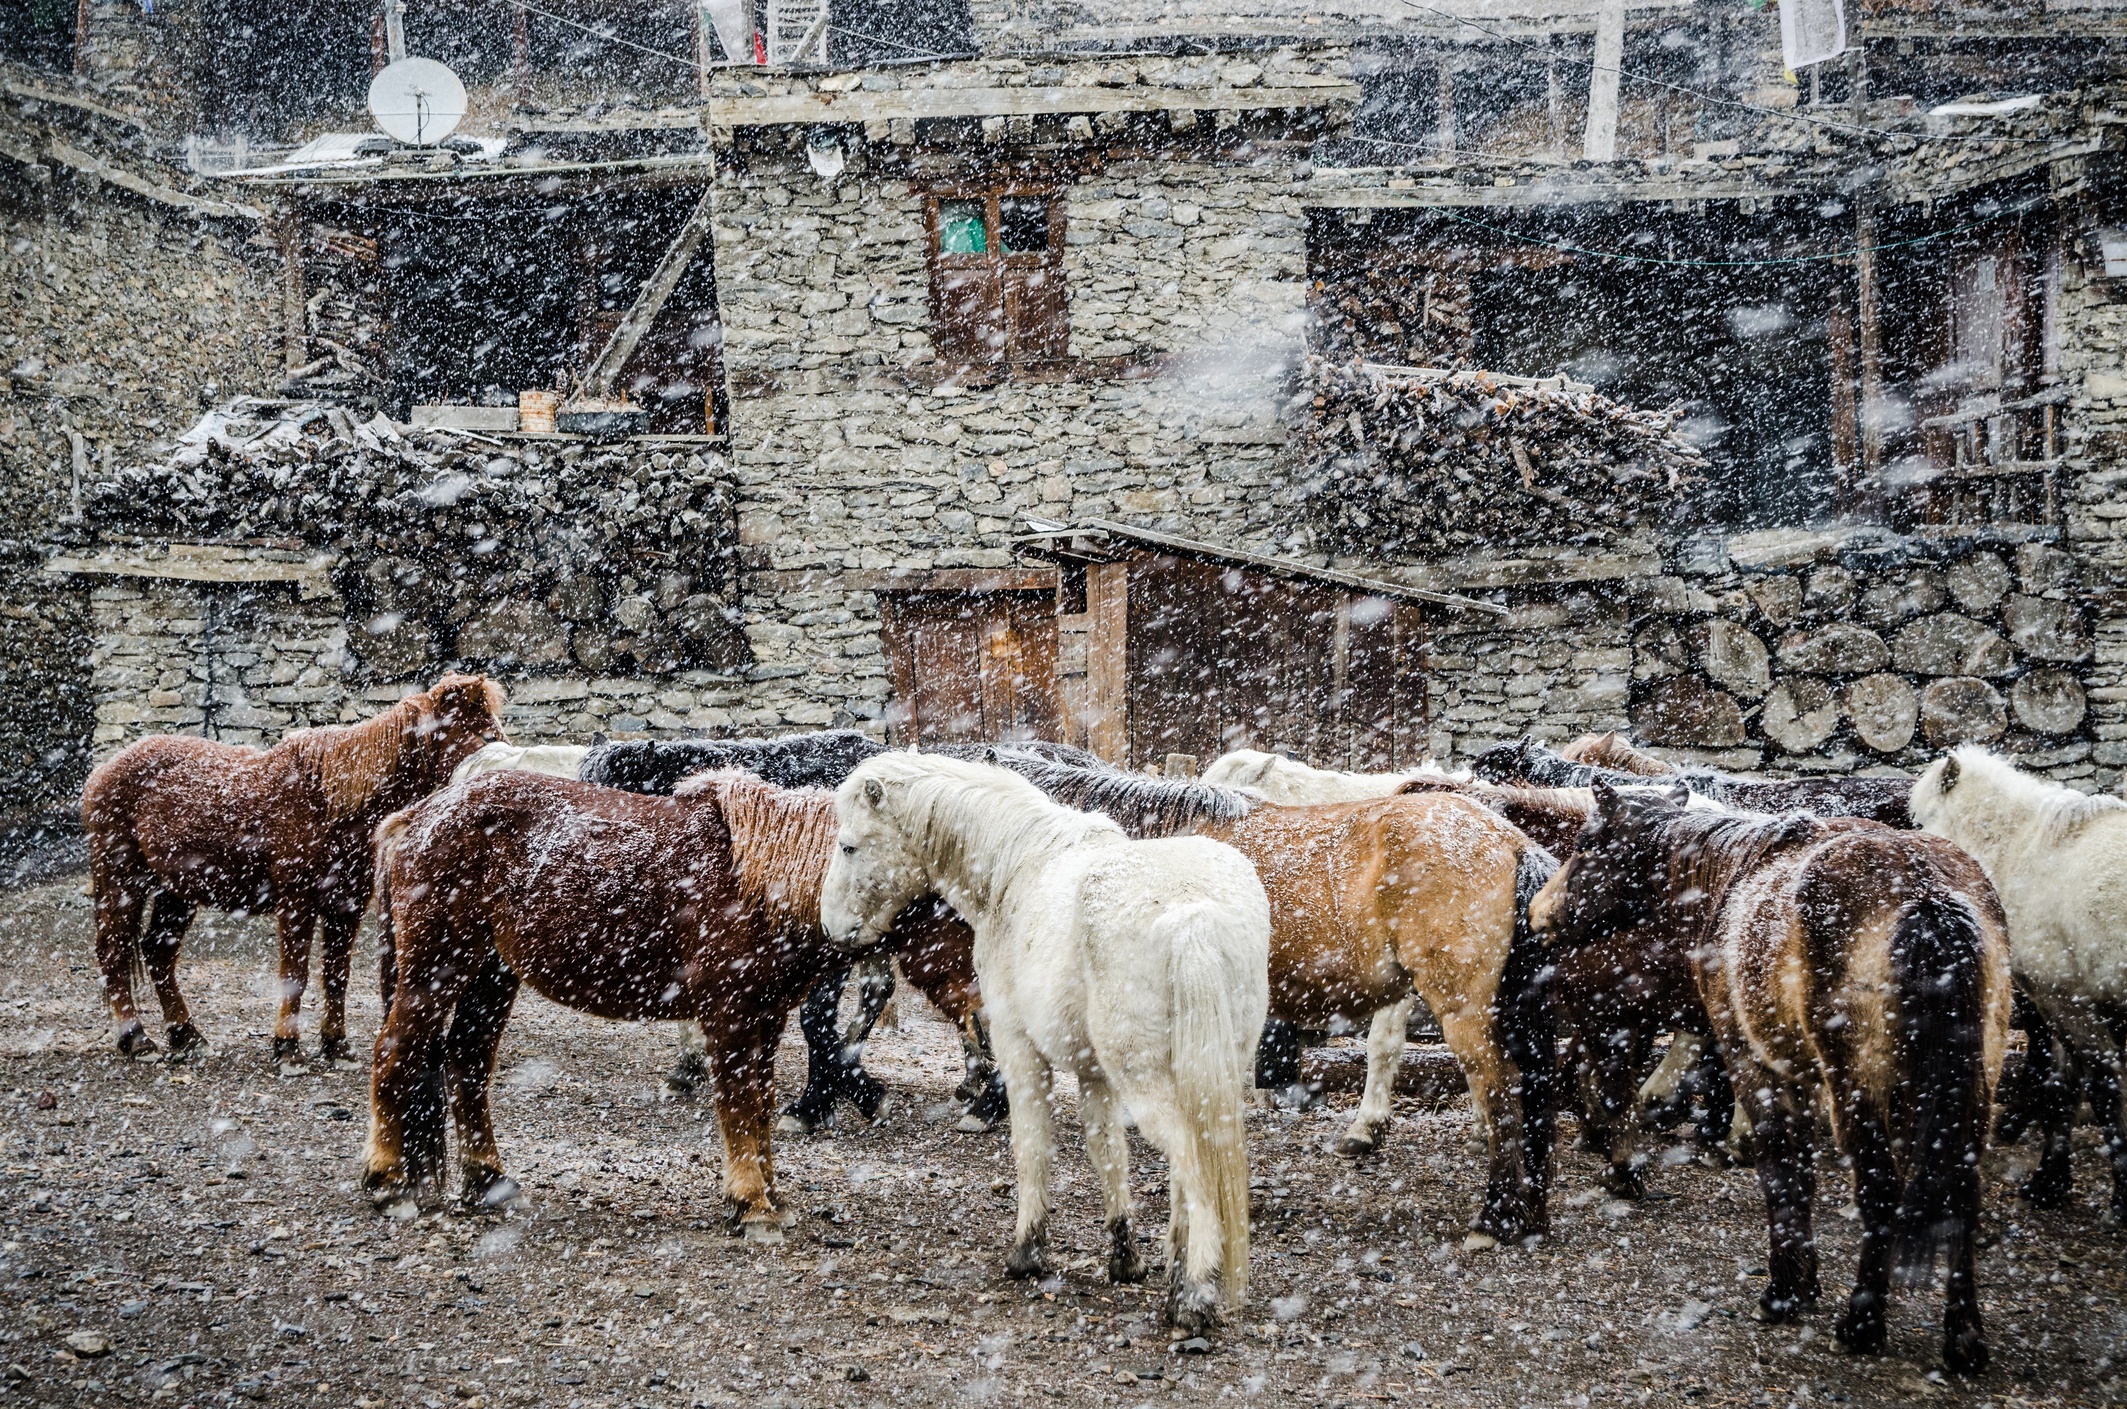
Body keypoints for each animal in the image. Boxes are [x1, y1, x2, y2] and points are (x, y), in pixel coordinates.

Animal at [81, 673, 506, 1071]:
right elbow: (295, 976)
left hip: (178, 891)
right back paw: (137, 1040)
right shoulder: (296, 904)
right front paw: (287, 1049)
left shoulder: (346, 906)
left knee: (159, 951)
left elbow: (336, 974)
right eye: (484, 733)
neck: (331, 804)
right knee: (115, 951)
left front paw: (336, 1046)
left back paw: (187, 1037)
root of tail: (102, 772)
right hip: (122, 879)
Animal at [364, 768, 973, 1237]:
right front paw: (751, 1204)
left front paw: (769, 1195)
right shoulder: (730, 1018)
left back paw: (490, 1182)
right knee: (396, 1054)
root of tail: (415, 817)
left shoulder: (765, 1019)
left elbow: (760, 1105)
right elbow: (740, 1107)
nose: (982, 1008)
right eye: (957, 910)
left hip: (490, 979)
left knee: (465, 1063)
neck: (762, 883)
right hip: (435, 973)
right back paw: (388, 1182)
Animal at [819, 753, 1269, 1334]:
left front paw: (1027, 1253)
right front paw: (1125, 1258)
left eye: (849, 846)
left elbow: (1031, 1146)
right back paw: (1176, 1285)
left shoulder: (1019, 1049)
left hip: (1151, 1083)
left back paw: (1193, 1297)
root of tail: (1194, 915)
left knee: (1193, 1167)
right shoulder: (1095, 1074)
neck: (1018, 868)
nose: (832, 927)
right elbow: (1107, 1152)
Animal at [1530, 784, 2010, 1374]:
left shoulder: (1756, 1066)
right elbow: (1796, 1170)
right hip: (1966, 1087)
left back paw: (1861, 1324)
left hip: (1861, 1091)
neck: (1733, 876)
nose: (1539, 913)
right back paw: (1964, 1340)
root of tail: (1927, 896)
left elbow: (1782, 1171)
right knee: (1961, 1190)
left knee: (1879, 1190)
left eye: (1585, 844)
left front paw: (1786, 1292)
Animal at [1911, 747, 2127, 1222]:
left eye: (1923, 820)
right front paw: (2050, 1181)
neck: (2024, 851)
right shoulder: (2060, 1003)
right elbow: (2062, 1089)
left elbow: (2102, 1089)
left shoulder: (2068, 1000)